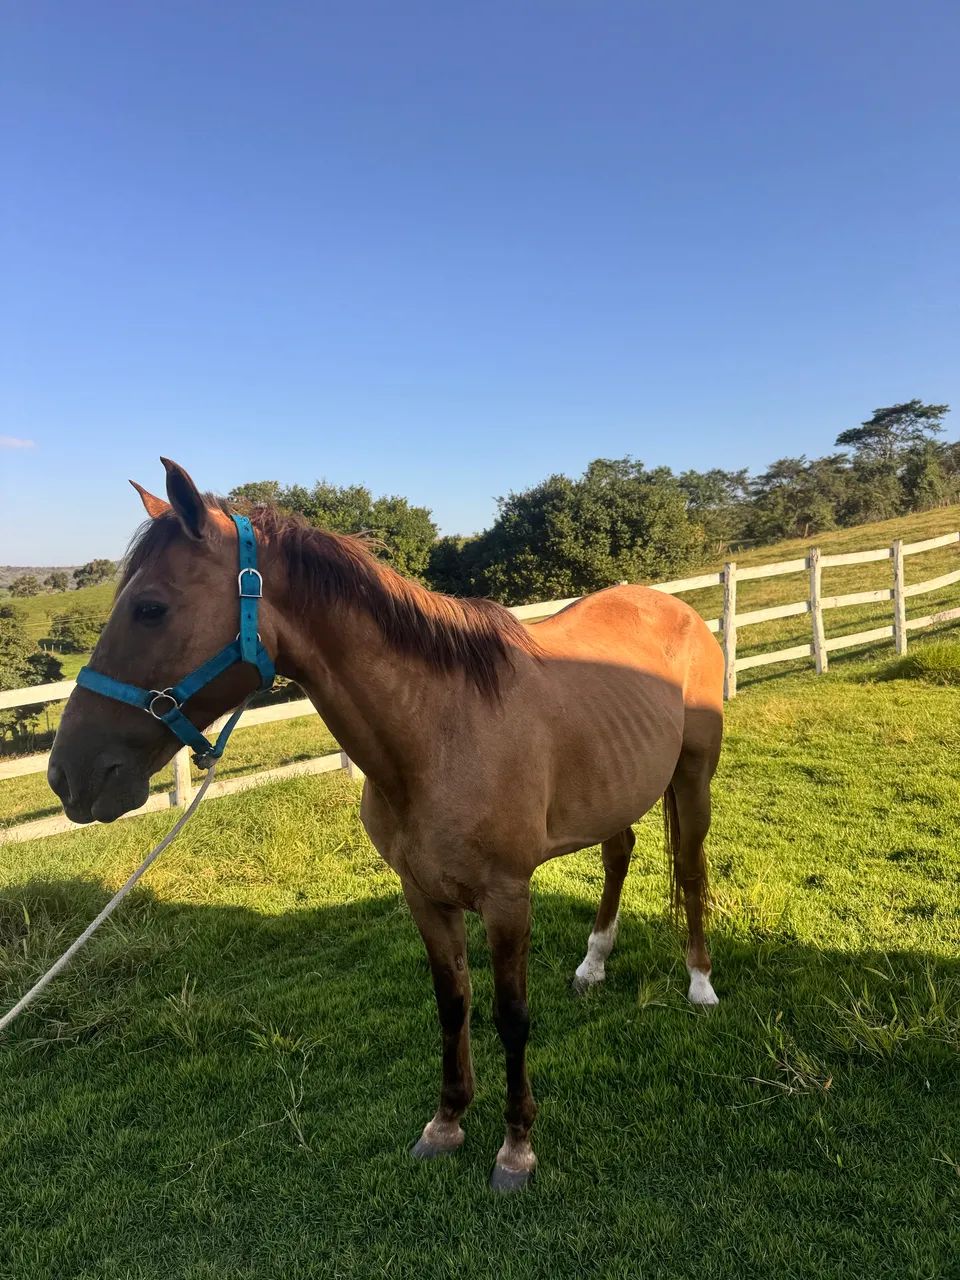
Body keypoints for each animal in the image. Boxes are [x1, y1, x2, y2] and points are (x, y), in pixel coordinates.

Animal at [48, 459, 725, 1191]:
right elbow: (452, 1004)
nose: (67, 775)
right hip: (614, 792)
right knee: (619, 853)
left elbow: (510, 1016)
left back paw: (700, 983)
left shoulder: (508, 898)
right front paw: (447, 1123)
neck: (438, 731)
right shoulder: (423, 895)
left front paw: (516, 1147)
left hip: (694, 776)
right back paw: (593, 965)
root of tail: (680, 608)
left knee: (690, 869)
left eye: (150, 607)